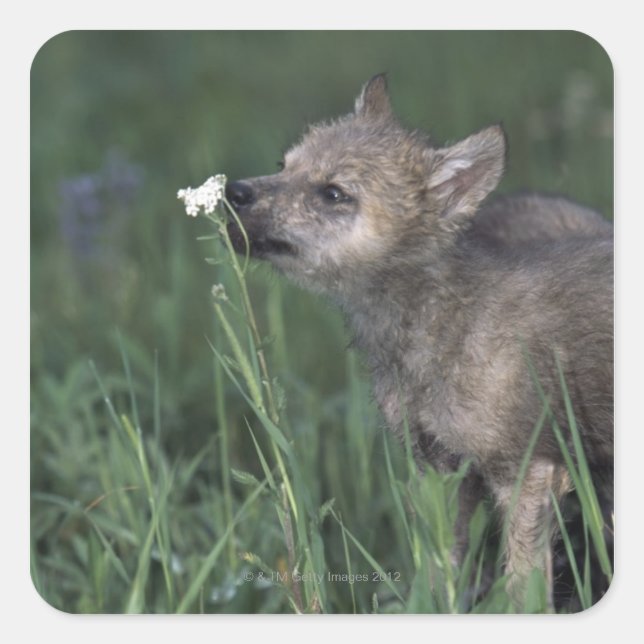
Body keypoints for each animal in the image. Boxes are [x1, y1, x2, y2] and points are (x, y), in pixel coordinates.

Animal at [225, 75, 613, 607]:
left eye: (334, 193)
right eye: (284, 165)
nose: (232, 190)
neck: (438, 331)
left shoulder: (526, 472)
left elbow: (523, 590)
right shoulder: (438, 467)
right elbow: (438, 570)